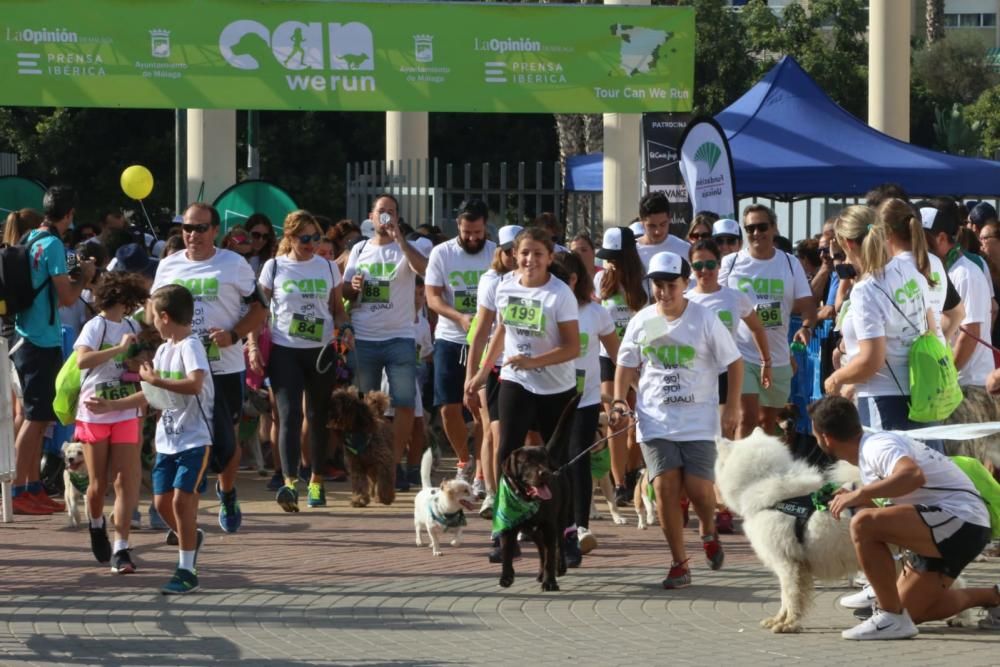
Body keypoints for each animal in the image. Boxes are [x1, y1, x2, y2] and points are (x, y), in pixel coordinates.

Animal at [712, 430, 860, 636]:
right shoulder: (791, 565)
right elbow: (784, 597)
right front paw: (778, 620)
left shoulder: (787, 563)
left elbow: (790, 596)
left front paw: (788, 624)